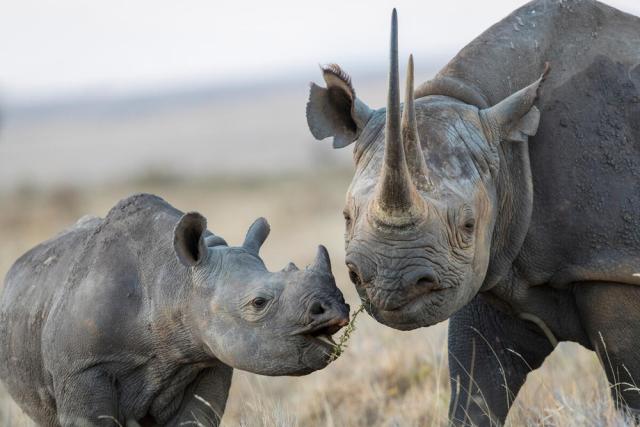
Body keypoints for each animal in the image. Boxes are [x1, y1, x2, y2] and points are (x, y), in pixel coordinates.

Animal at [306, 1, 640, 424]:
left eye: (467, 224)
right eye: (347, 217)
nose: (389, 284)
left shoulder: (612, 265)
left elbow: (630, 390)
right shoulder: (492, 267)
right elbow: (475, 387)